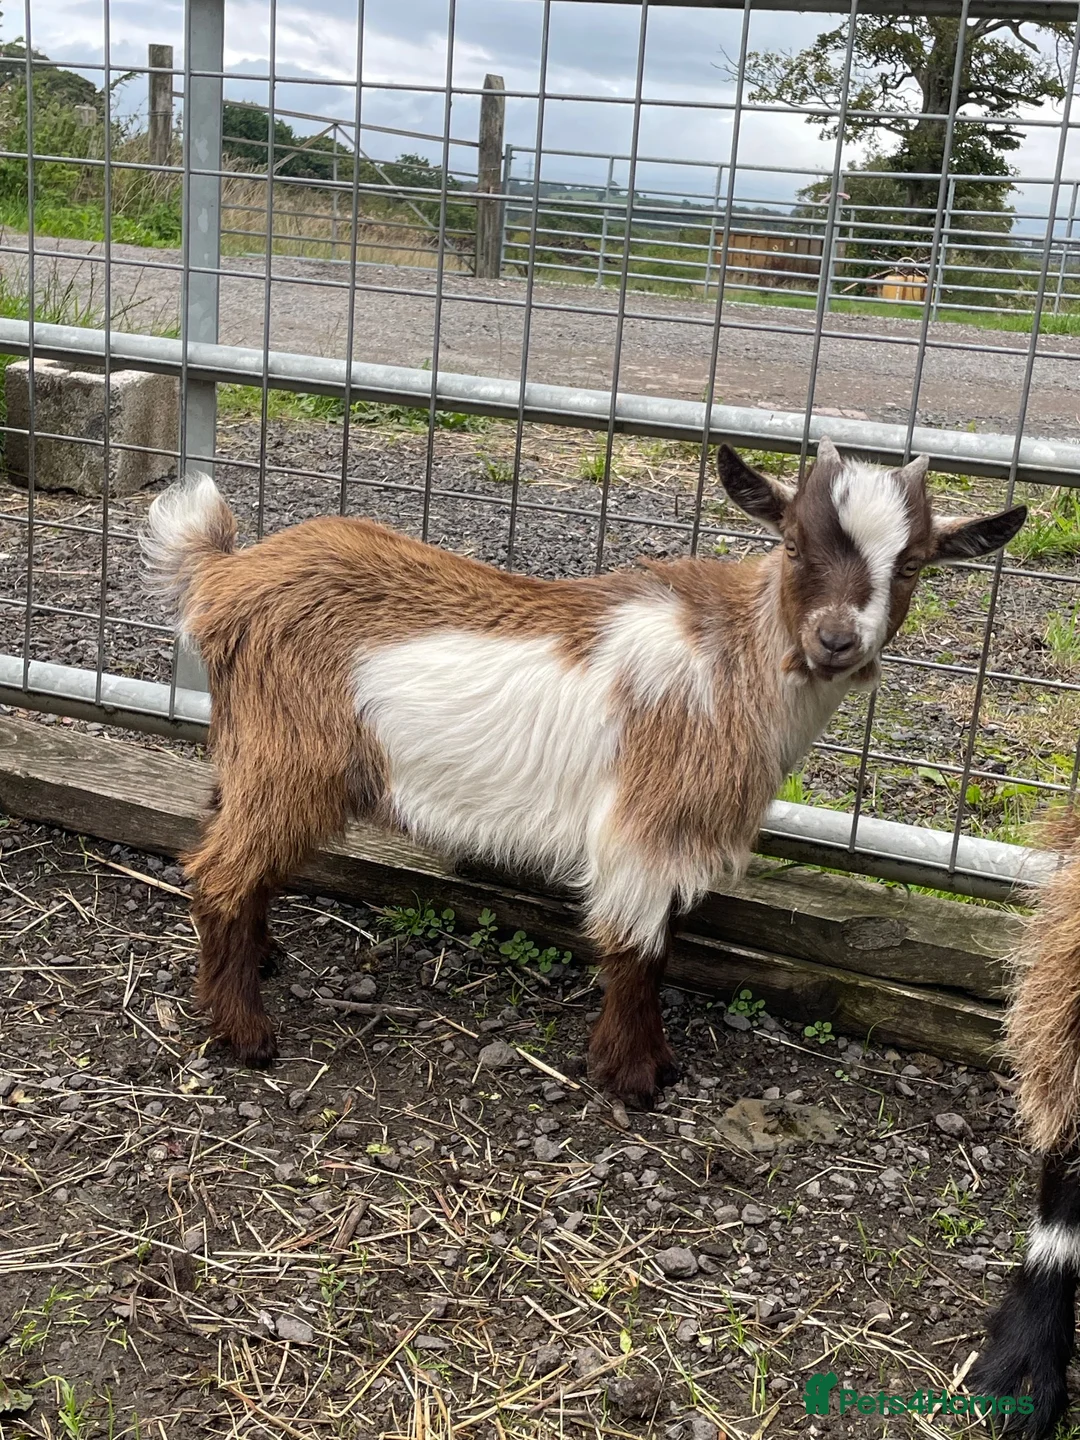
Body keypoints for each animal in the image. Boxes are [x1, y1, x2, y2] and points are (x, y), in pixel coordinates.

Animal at [140, 438, 1025, 1108]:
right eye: (794, 544)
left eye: (911, 564)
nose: (836, 640)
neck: (736, 656)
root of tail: (225, 576)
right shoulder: (645, 822)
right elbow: (640, 949)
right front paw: (635, 1077)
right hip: (294, 756)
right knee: (219, 872)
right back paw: (245, 1032)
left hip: (255, 749)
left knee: (226, 841)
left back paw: (258, 961)